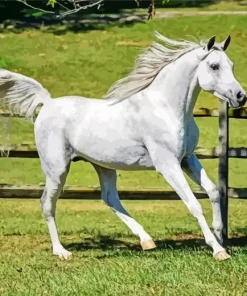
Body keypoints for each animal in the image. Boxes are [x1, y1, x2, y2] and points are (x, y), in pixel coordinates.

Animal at [0, 32, 246, 262]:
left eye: (231, 65)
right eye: (214, 66)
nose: (240, 96)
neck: (166, 107)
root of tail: (48, 103)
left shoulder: (188, 159)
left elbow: (213, 191)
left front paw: (221, 238)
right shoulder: (168, 164)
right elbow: (194, 203)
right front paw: (217, 250)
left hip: (104, 166)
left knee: (109, 198)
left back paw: (147, 241)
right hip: (57, 169)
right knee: (47, 203)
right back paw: (61, 251)